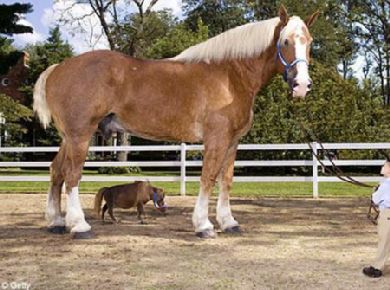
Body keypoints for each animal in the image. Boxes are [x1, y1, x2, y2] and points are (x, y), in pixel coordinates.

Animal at [33, 5, 318, 239]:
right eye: (285, 41)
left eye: (310, 42)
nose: (302, 85)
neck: (230, 76)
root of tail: (57, 68)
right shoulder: (216, 139)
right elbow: (208, 177)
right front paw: (203, 225)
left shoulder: (233, 142)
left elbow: (226, 180)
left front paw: (229, 222)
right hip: (80, 135)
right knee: (72, 175)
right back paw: (79, 226)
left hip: (68, 138)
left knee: (56, 171)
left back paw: (56, 222)